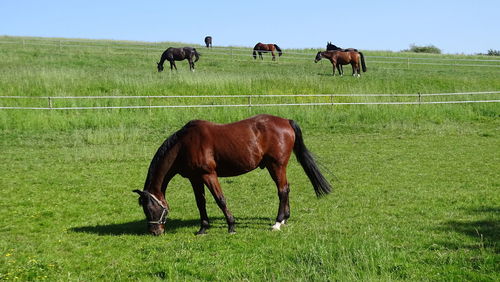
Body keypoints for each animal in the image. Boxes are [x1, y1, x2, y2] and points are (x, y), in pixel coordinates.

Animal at [132, 114, 332, 236]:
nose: (154, 232)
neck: (184, 145)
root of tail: (286, 121)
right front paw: (203, 228)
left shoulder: (209, 175)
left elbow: (220, 199)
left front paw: (231, 225)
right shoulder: (195, 178)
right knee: (286, 188)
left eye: (149, 208)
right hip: (275, 166)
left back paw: (277, 222)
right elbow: (200, 202)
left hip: (276, 165)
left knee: (282, 190)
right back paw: (284, 219)